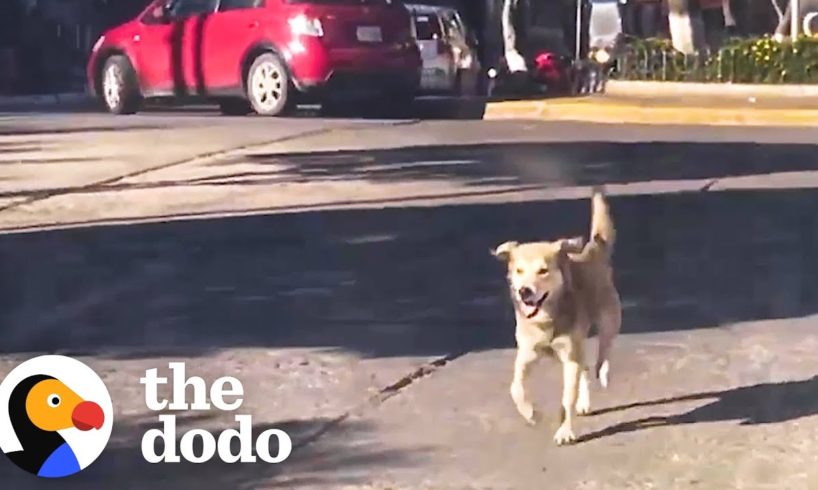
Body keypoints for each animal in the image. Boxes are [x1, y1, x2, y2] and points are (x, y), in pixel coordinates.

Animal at [490, 189, 620, 446]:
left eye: (543, 270)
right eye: (519, 270)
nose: (524, 291)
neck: (547, 319)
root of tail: (592, 251)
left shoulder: (569, 357)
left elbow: (566, 398)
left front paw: (565, 431)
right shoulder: (527, 354)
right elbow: (516, 388)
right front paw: (531, 414)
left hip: (608, 319)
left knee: (603, 352)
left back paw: (603, 370)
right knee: (585, 368)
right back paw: (584, 401)